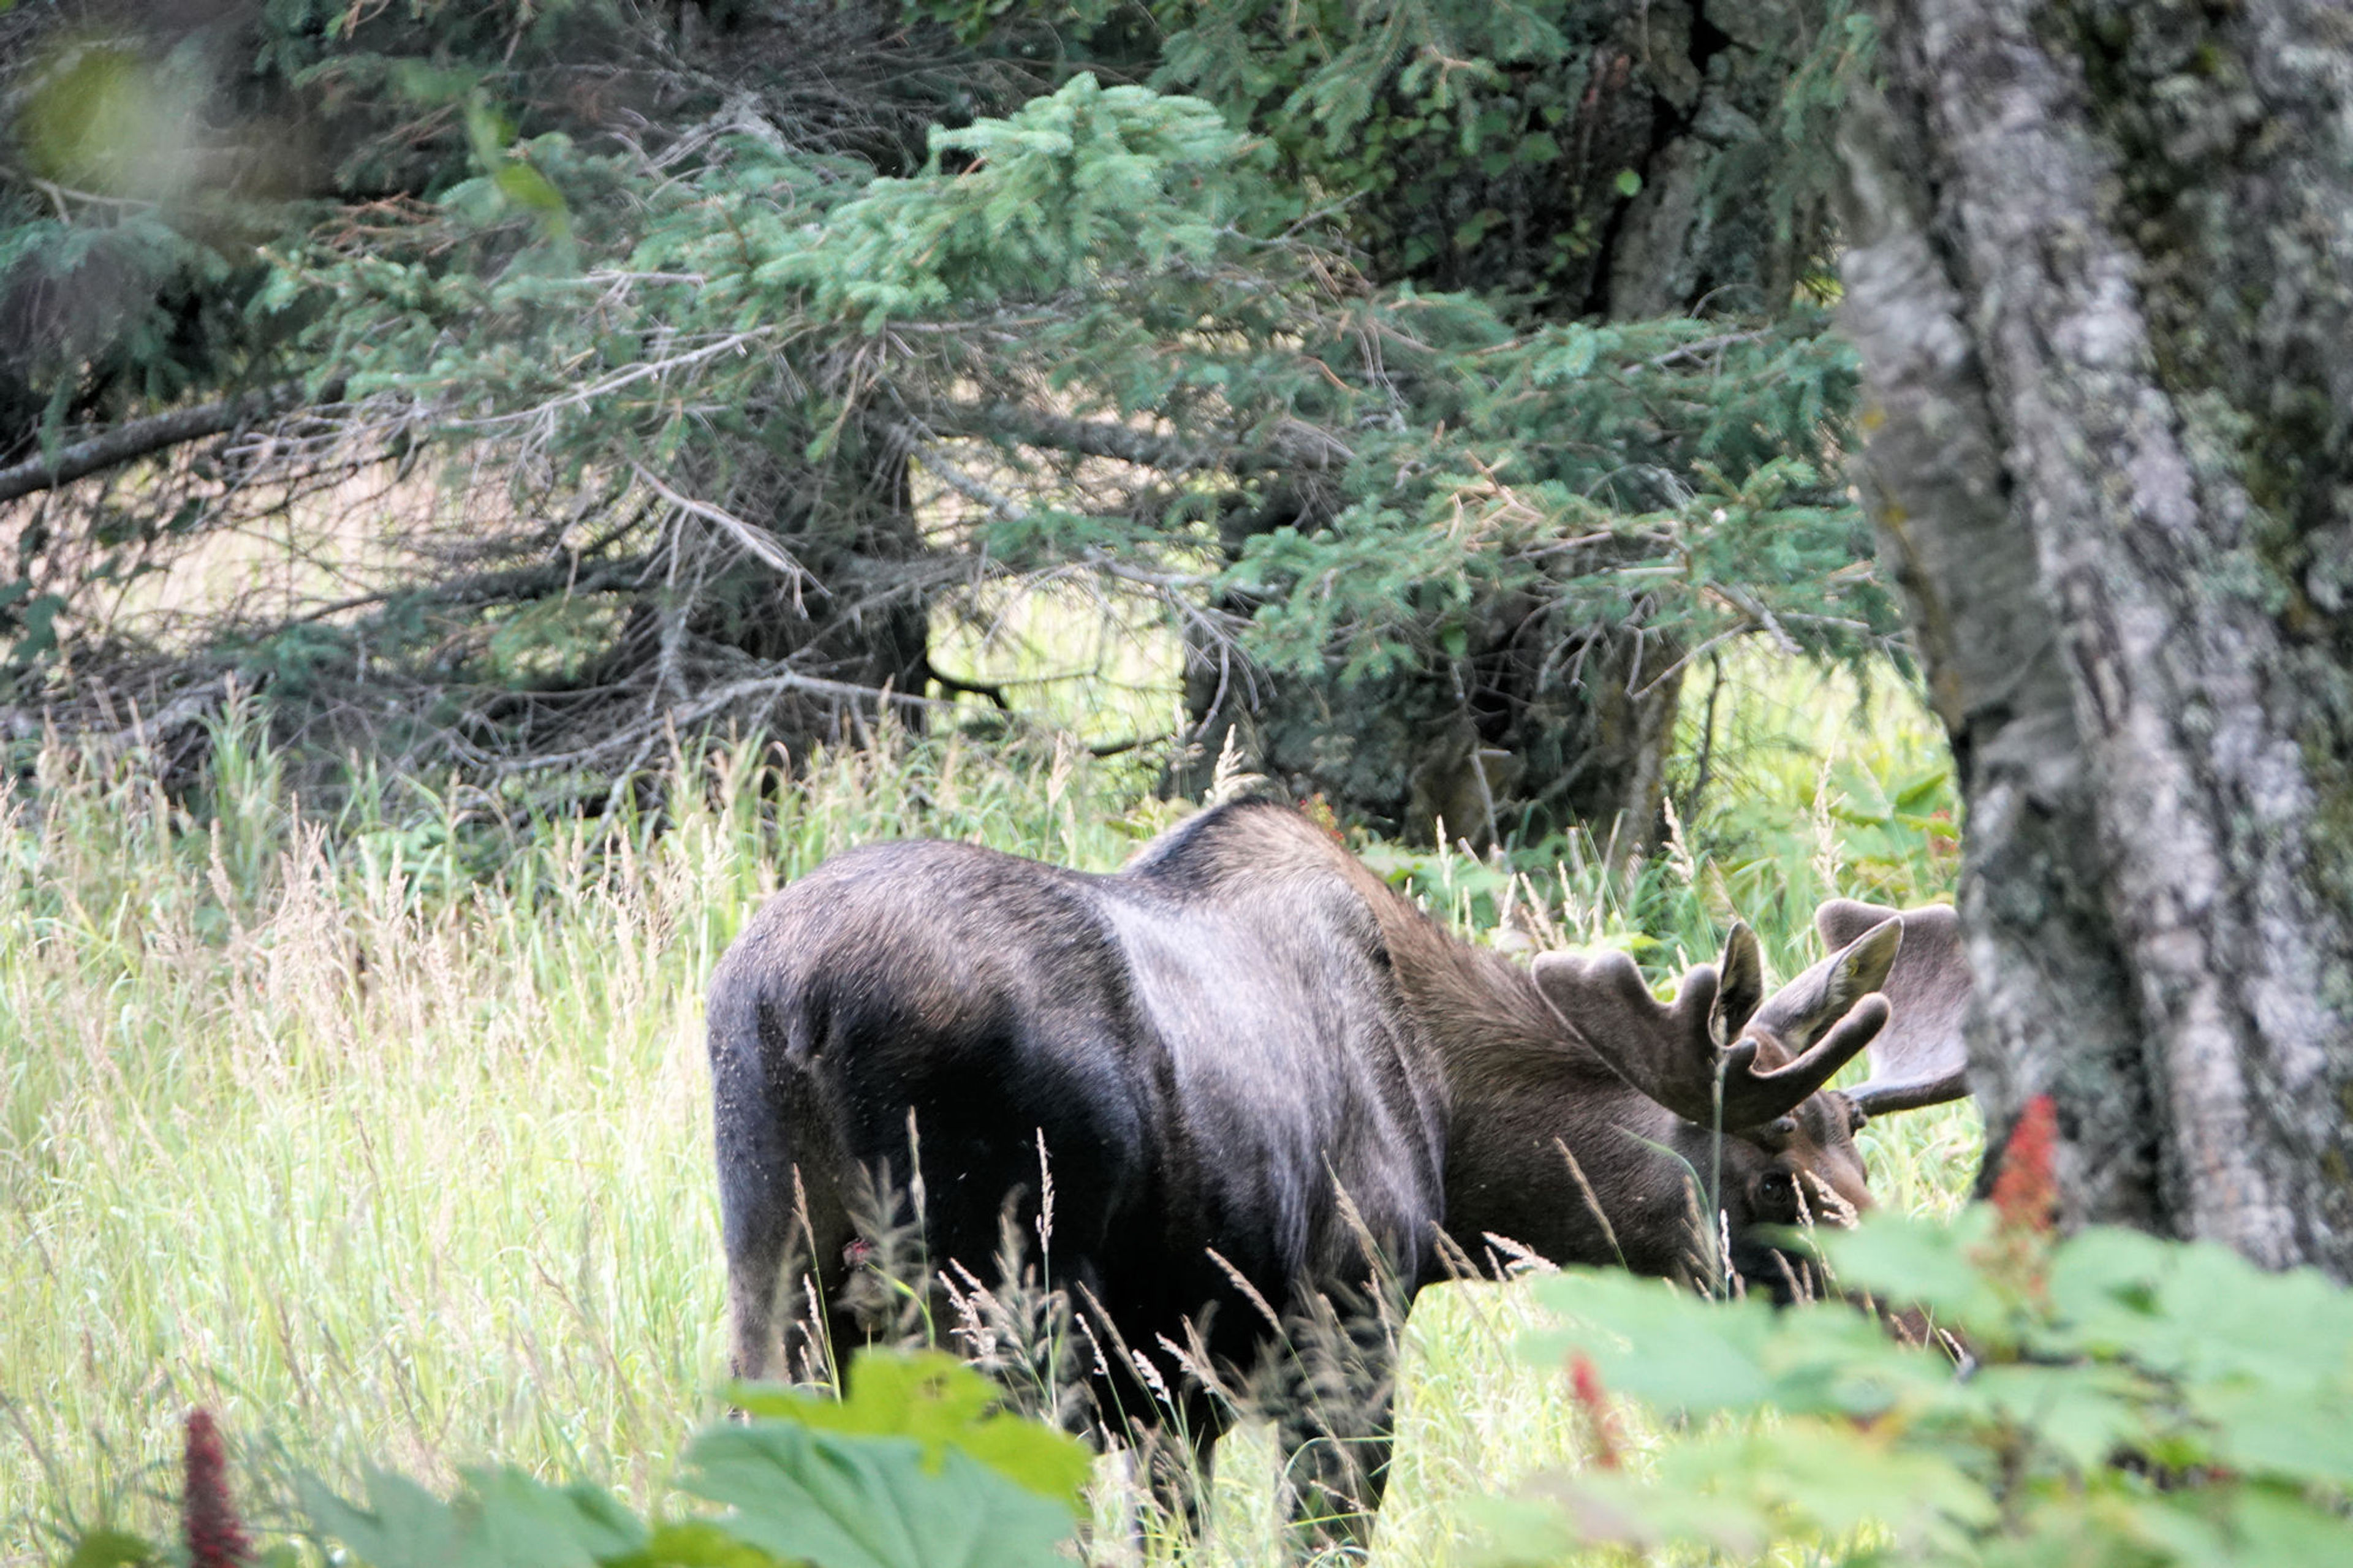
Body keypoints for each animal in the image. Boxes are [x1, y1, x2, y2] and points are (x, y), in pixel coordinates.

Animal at [701, 800, 1967, 1535]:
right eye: (1772, 1180)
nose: (1949, 1347)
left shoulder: (1177, 1398)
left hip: (780, 1285)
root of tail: (791, 1001)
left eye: (1860, 1152)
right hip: (992, 1304)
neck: (1454, 1142)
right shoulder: (1346, 1333)